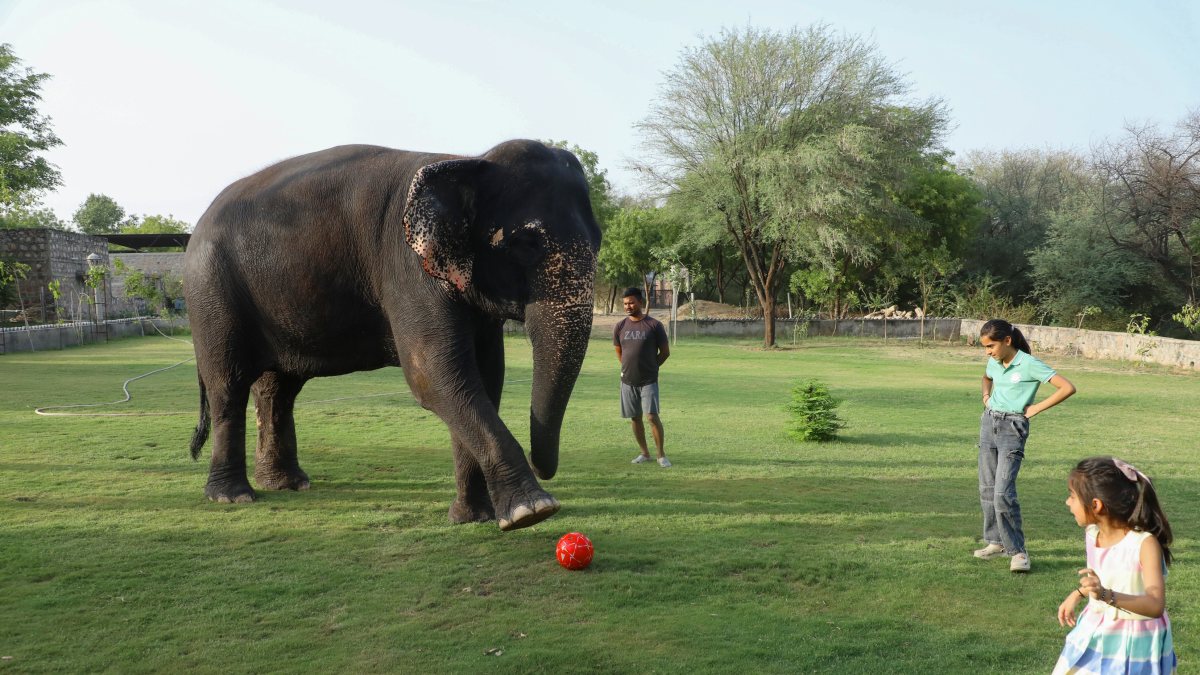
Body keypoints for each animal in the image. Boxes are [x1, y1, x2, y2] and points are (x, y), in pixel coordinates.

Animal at [183, 139, 601, 531]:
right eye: (526, 244)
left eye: (598, 240)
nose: (542, 465)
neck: (467, 162)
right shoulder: (406, 268)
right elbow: (434, 376)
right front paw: (530, 511)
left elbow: (483, 377)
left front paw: (473, 518)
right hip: (212, 292)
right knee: (228, 385)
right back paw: (232, 497)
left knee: (277, 390)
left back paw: (288, 484)